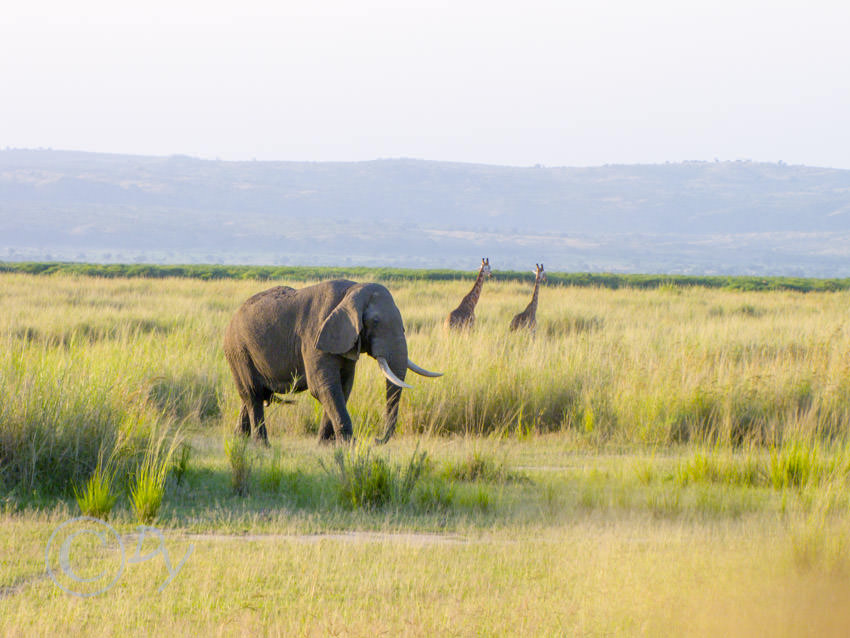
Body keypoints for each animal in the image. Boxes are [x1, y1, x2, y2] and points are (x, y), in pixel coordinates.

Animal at [222, 280, 440, 444]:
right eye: (375, 322)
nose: (377, 440)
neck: (352, 291)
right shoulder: (314, 337)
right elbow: (323, 386)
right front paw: (350, 445)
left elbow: (343, 387)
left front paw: (327, 445)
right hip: (239, 351)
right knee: (252, 393)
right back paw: (262, 445)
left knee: (252, 395)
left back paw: (240, 441)